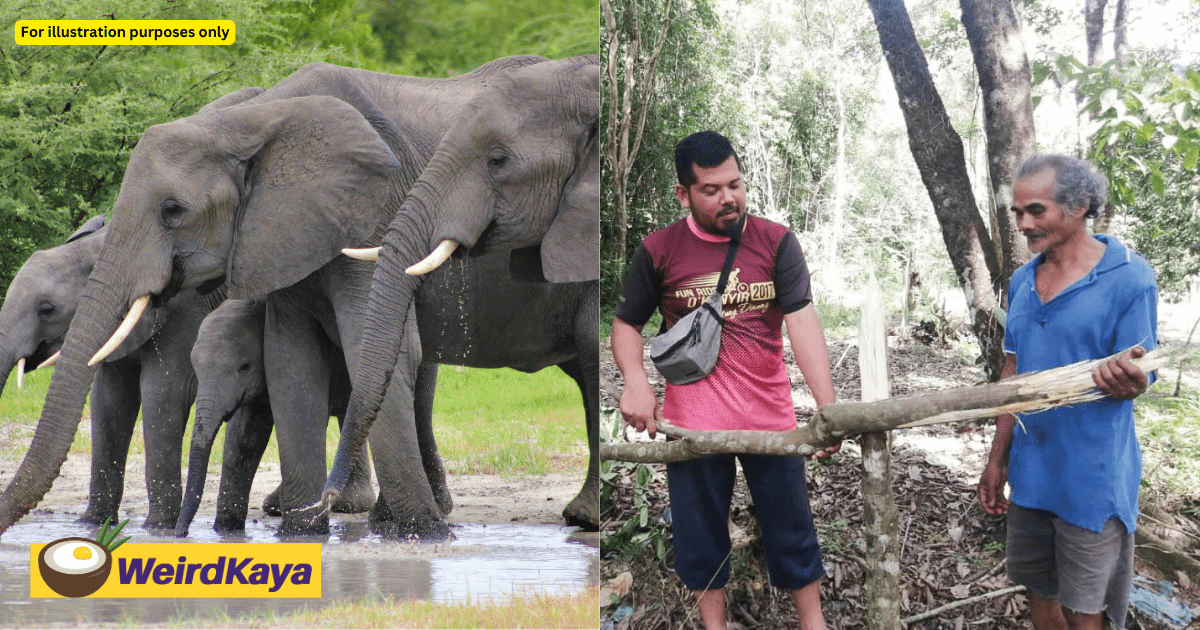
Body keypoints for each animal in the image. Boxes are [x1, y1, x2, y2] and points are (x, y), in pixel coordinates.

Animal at [0, 217, 225, 529]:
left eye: (46, 309)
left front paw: (157, 528)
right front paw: (92, 523)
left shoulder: (185, 310)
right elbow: (109, 399)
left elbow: (162, 393)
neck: (98, 246)